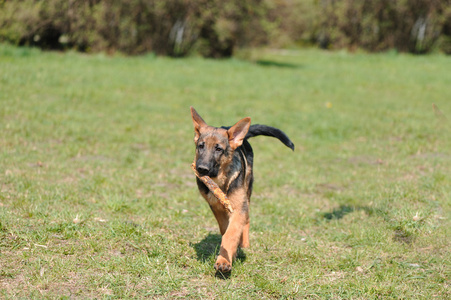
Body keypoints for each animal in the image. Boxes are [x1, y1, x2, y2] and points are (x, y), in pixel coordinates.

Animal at [190, 106, 294, 274]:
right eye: (201, 146)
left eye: (218, 149)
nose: (201, 169)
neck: (220, 182)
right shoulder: (216, 208)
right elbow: (225, 230)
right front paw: (228, 255)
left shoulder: (239, 208)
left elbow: (231, 234)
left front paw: (224, 260)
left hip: (248, 192)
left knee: (247, 219)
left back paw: (244, 243)